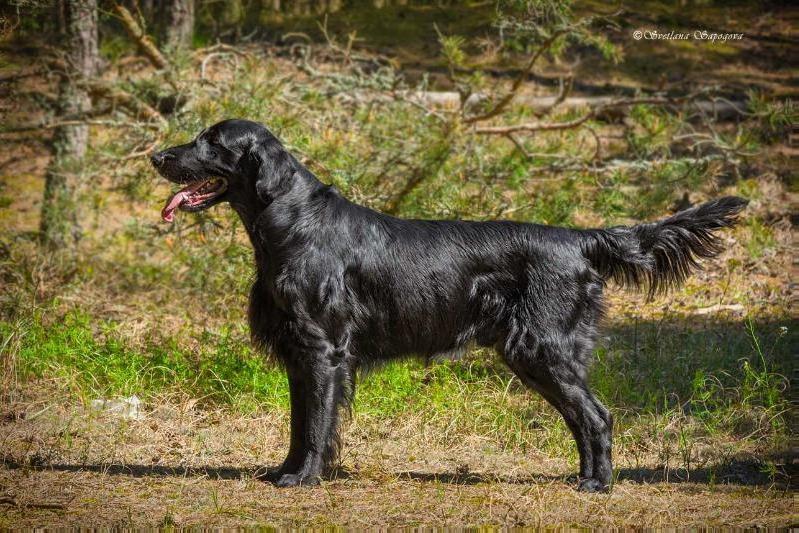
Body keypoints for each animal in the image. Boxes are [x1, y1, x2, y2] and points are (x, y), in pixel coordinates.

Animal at [152, 119, 752, 490]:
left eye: (211, 142)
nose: (157, 155)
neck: (293, 223)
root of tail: (579, 240)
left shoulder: (322, 350)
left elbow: (317, 424)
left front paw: (304, 479)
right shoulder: (302, 356)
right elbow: (301, 424)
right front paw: (287, 471)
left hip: (541, 348)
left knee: (597, 416)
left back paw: (597, 485)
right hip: (536, 355)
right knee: (585, 418)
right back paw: (584, 477)